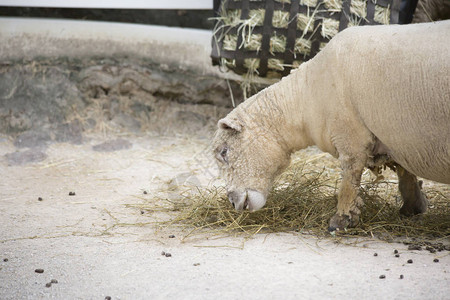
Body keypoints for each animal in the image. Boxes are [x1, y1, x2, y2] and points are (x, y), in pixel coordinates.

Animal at [212, 20, 450, 230]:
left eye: (224, 152)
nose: (233, 203)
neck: (306, 96)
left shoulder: (350, 135)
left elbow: (349, 178)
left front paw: (341, 220)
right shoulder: (395, 138)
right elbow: (403, 170)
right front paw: (414, 206)